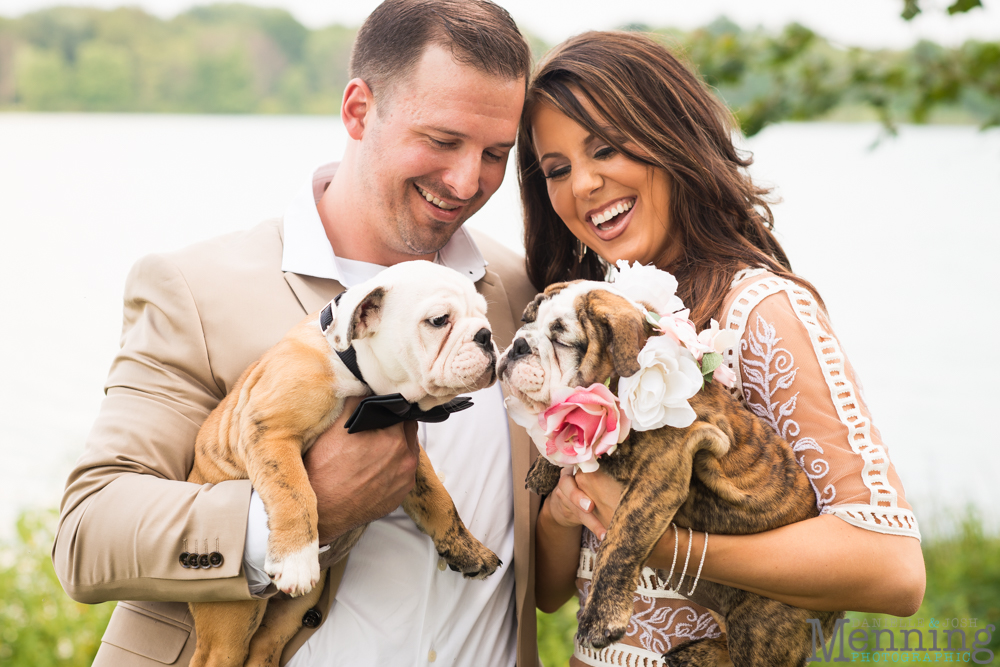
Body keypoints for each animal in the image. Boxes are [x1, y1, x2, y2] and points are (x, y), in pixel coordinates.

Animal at [496, 282, 840, 667]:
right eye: (526, 321)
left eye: (561, 340)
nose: (518, 344)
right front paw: (544, 468)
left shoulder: (658, 479)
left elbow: (619, 544)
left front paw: (601, 619)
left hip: (760, 623)